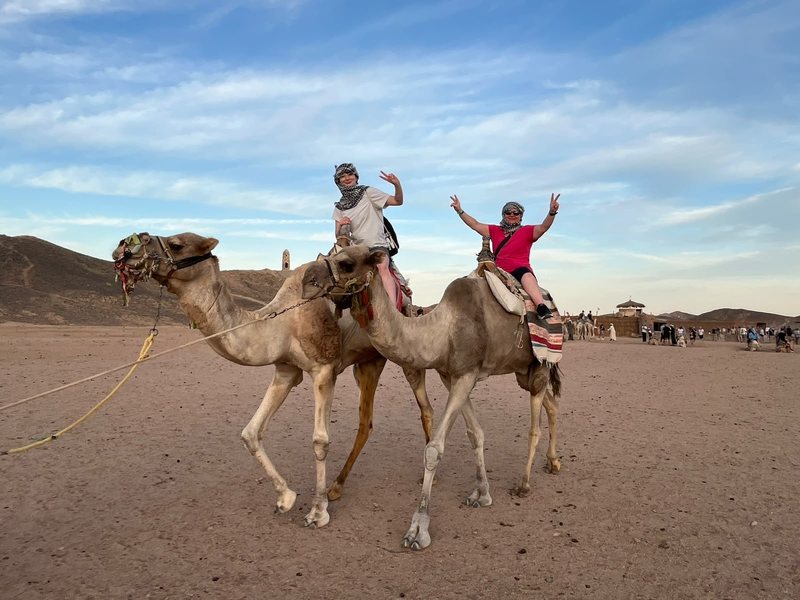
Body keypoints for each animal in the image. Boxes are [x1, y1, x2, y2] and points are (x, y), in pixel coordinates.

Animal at [111, 232, 433, 528]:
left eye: (177, 244)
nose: (123, 249)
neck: (283, 321)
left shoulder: (323, 369)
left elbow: (320, 441)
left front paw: (317, 512)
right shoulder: (285, 370)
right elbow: (251, 432)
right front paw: (286, 498)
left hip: (399, 352)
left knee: (423, 409)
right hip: (367, 361)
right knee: (366, 423)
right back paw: (337, 487)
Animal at [302, 245, 562, 550]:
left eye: (346, 263)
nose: (306, 280)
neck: (441, 331)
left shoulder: (466, 375)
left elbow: (434, 449)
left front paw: (418, 528)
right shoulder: (452, 376)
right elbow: (475, 434)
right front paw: (482, 493)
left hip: (539, 364)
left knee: (535, 426)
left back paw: (524, 483)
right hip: (523, 371)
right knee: (552, 403)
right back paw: (553, 462)